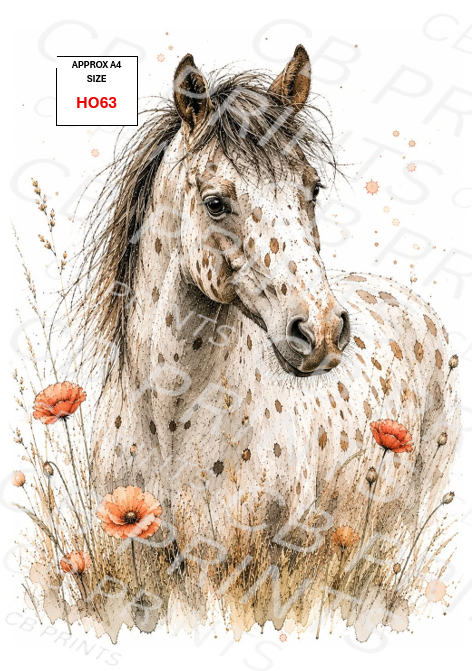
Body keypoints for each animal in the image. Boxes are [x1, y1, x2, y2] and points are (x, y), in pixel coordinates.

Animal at [86, 45, 459, 631]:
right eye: (215, 202)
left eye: (313, 188)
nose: (322, 332)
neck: (170, 416)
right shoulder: (135, 568)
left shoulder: (240, 573)